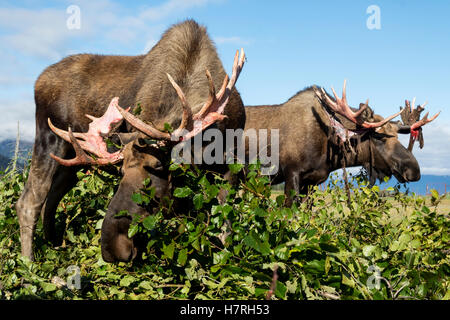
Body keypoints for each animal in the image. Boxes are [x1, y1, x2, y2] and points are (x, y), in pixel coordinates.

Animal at [15, 21, 246, 264]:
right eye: (121, 171)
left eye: (158, 166)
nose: (111, 247)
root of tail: (38, 81)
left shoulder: (231, 164)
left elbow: (225, 228)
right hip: (49, 139)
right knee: (29, 202)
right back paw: (28, 264)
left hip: (72, 159)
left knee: (51, 199)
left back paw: (54, 247)